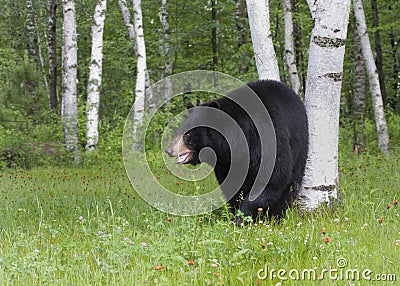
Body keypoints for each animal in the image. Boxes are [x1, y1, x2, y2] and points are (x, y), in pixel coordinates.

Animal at [164, 79, 308, 220]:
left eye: (188, 134)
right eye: (180, 130)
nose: (168, 150)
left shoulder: (268, 139)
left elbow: (274, 177)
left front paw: (241, 217)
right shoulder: (227, 162)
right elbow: (231, 185)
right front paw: (235, 213)